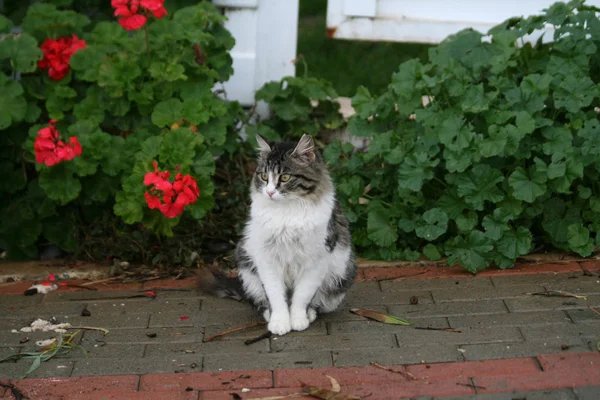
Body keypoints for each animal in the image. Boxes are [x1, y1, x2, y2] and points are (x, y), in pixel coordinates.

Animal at [197, 134, 356, 334]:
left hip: (342, 274)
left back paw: (310, 314)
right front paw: (279, 323)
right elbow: (275, 296)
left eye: (285, 177)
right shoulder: (266, 259)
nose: (270, 191)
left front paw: (298, 320)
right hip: (246, 263)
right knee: (259, 300)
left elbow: (302, 296)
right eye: (264, 176)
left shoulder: (316, 259)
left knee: (318, 302)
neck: (286, 213)